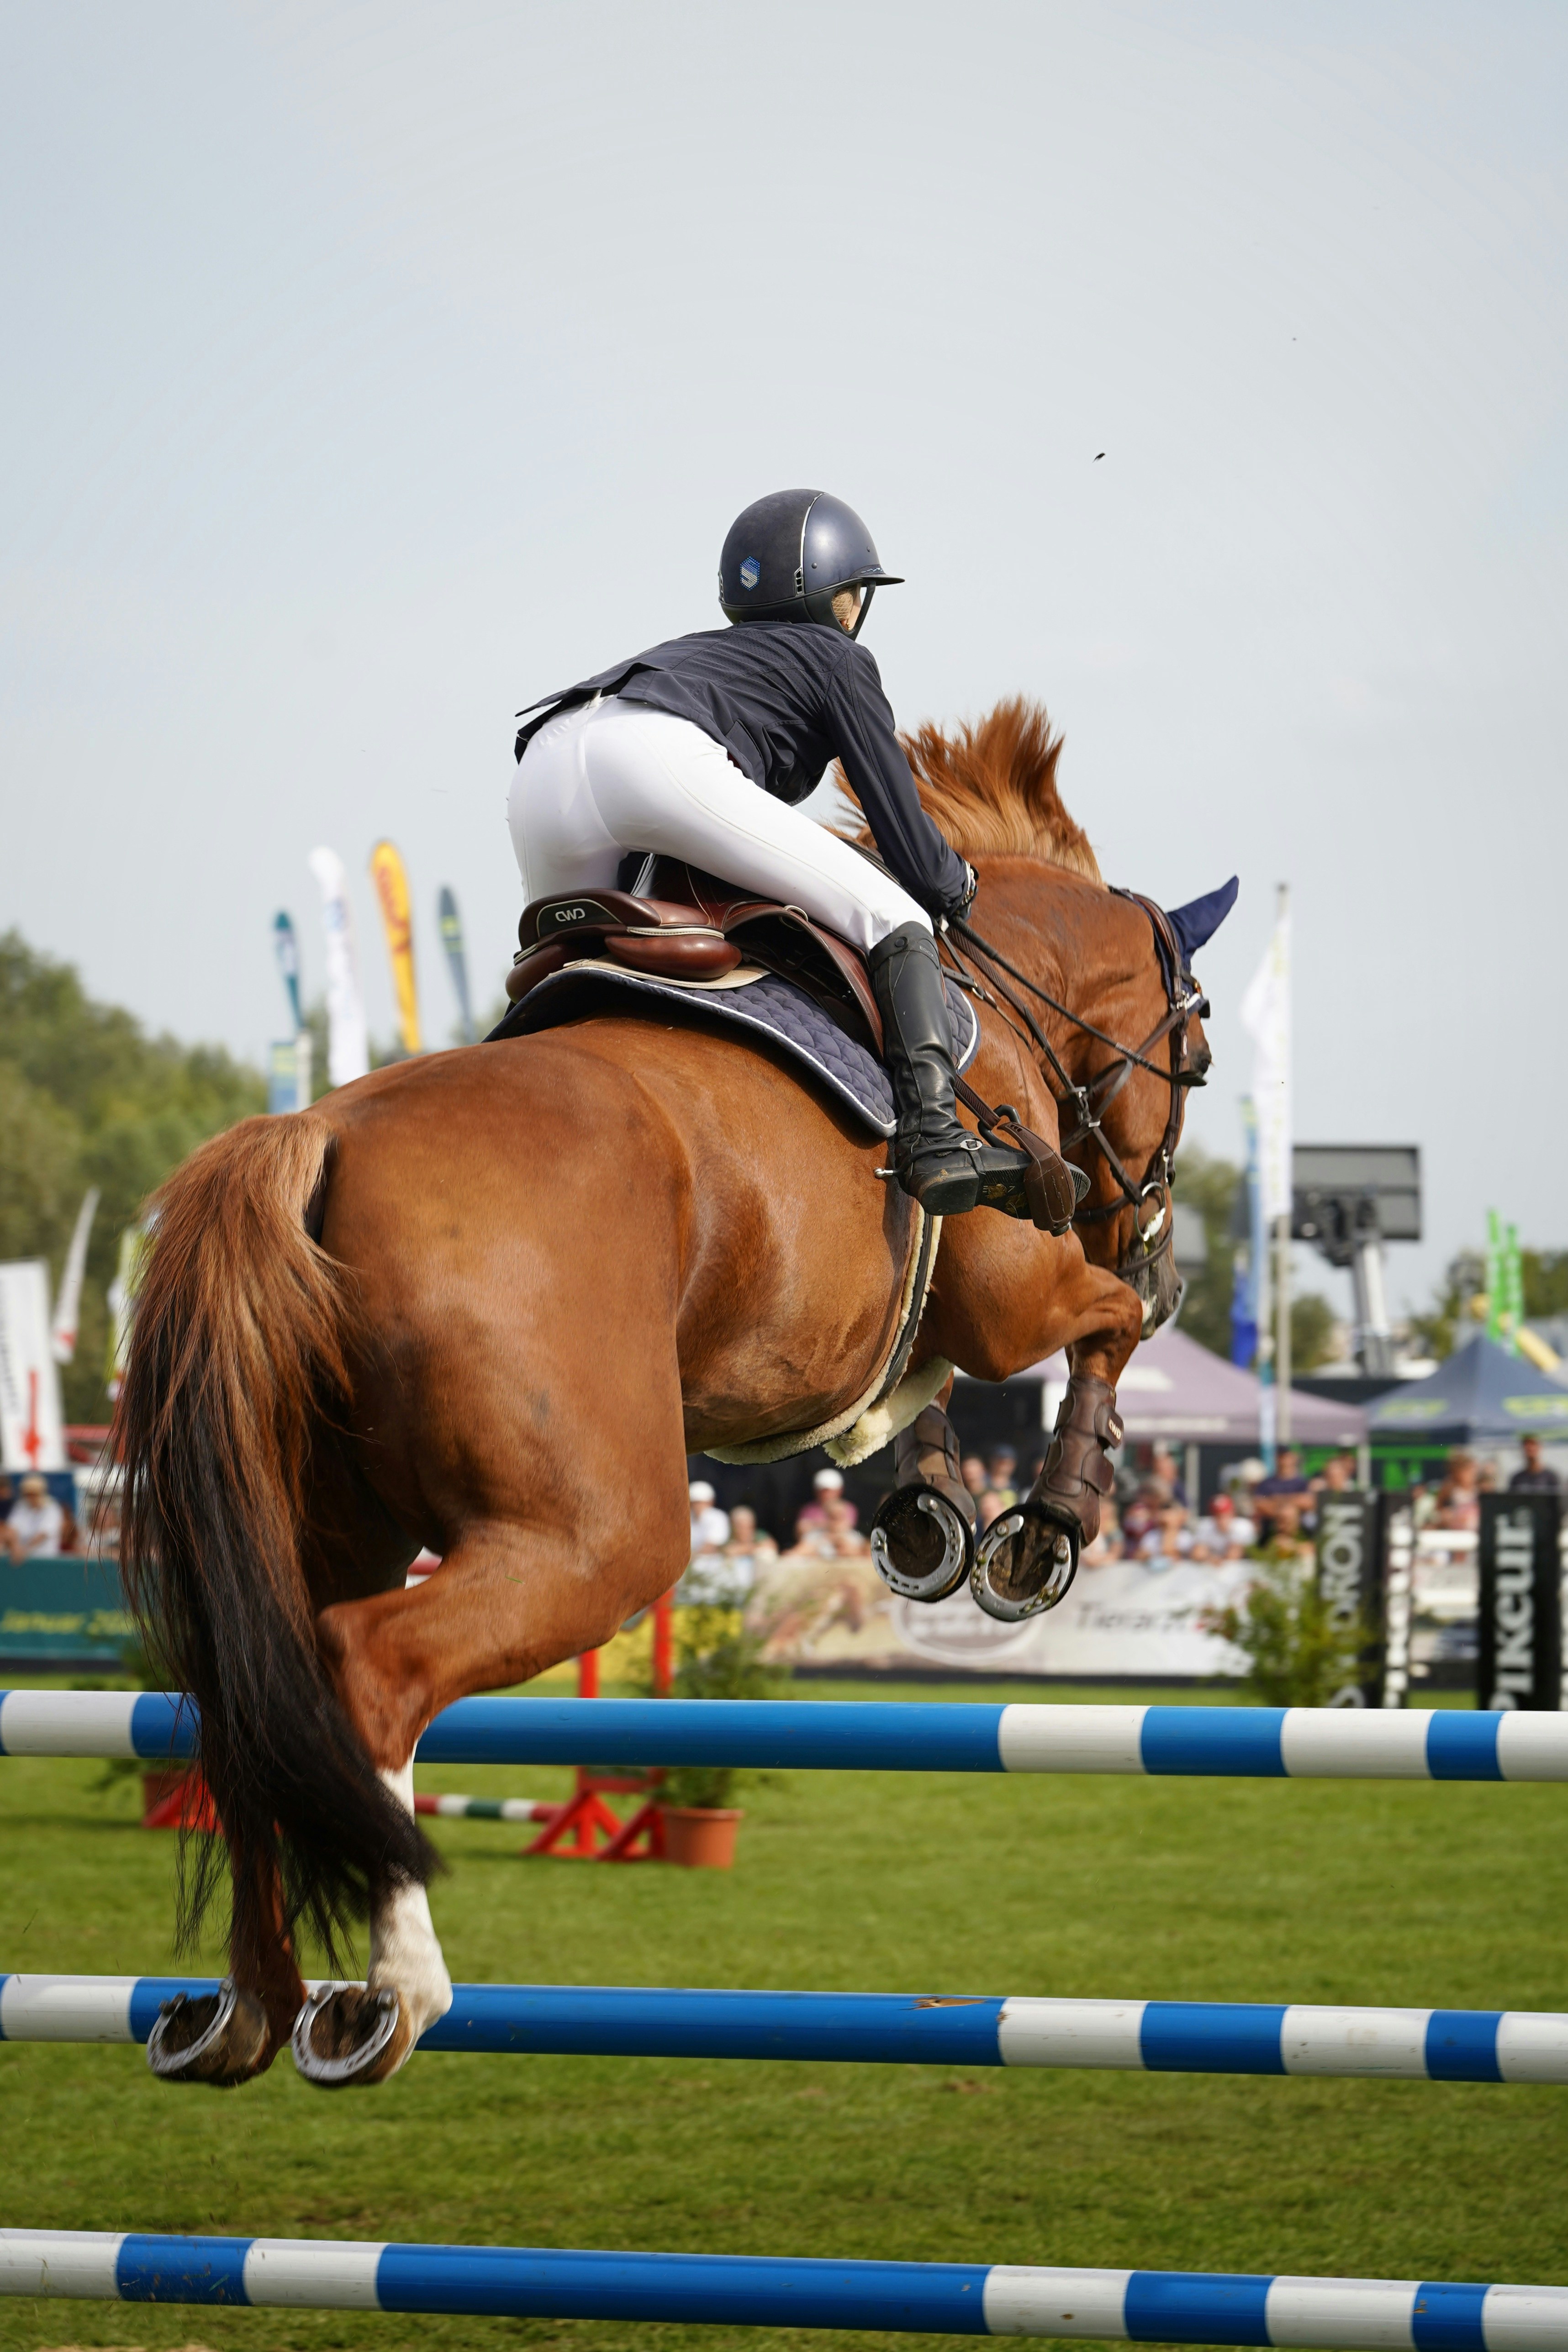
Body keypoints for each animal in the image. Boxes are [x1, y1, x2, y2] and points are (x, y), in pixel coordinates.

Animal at [115, 696, 1228, 2091]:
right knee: (369, 1669)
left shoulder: (875, 1327)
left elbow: (905, 1390)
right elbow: (1096, 1333)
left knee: (251, 1703)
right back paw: (389, 1998)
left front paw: (928, 1517)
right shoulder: (1013, 1294)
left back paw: (247, 2007)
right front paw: (1042, 1531)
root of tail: (310, 1135)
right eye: (1198, 1048)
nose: (1163, 1250)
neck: (991, 994)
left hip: (321, 1523)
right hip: (604, 1532)